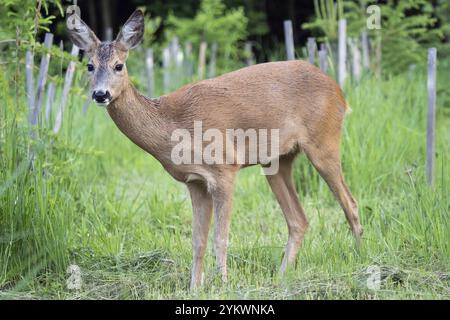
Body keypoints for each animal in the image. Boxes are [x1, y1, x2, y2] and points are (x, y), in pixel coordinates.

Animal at [67, 10, 362, 290]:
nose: (101, 94)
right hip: (277, 161)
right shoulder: (195, 181)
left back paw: (360, 261)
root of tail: (340, 93)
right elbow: (198, 240)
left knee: (351, 203)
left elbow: (221, 236)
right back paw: (281, 276)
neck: (173, 125)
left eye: (119, 65)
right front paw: (194, 288)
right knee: (299, 219)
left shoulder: (225, 168)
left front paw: (222, 282)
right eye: (90, 65)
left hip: (324, 141)